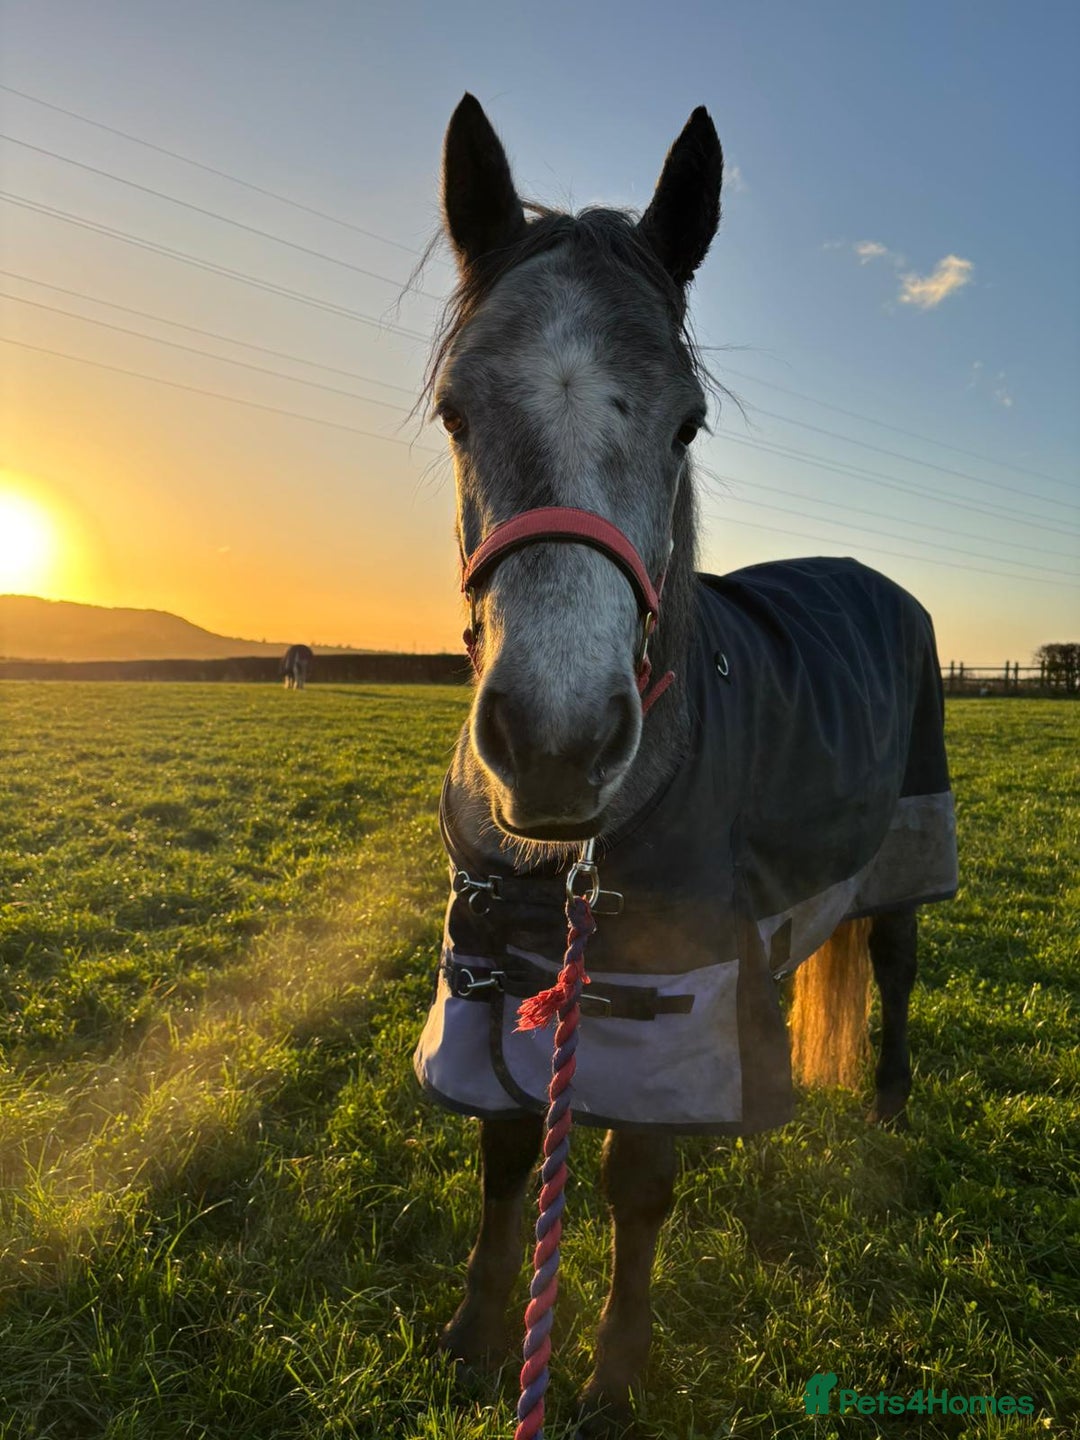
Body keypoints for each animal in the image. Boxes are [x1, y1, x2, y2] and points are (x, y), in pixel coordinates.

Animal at [413, 96, 958, 1438]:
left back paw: (888, 1102)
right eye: (456, 411)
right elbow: (508, 1151)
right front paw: (477, 1334)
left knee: (899, 965)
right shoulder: (497, 966)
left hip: (911, 847)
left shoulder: (676, 978)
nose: (556, 743)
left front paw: (612, 1373)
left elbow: (636, 1178)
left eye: (687, 423)